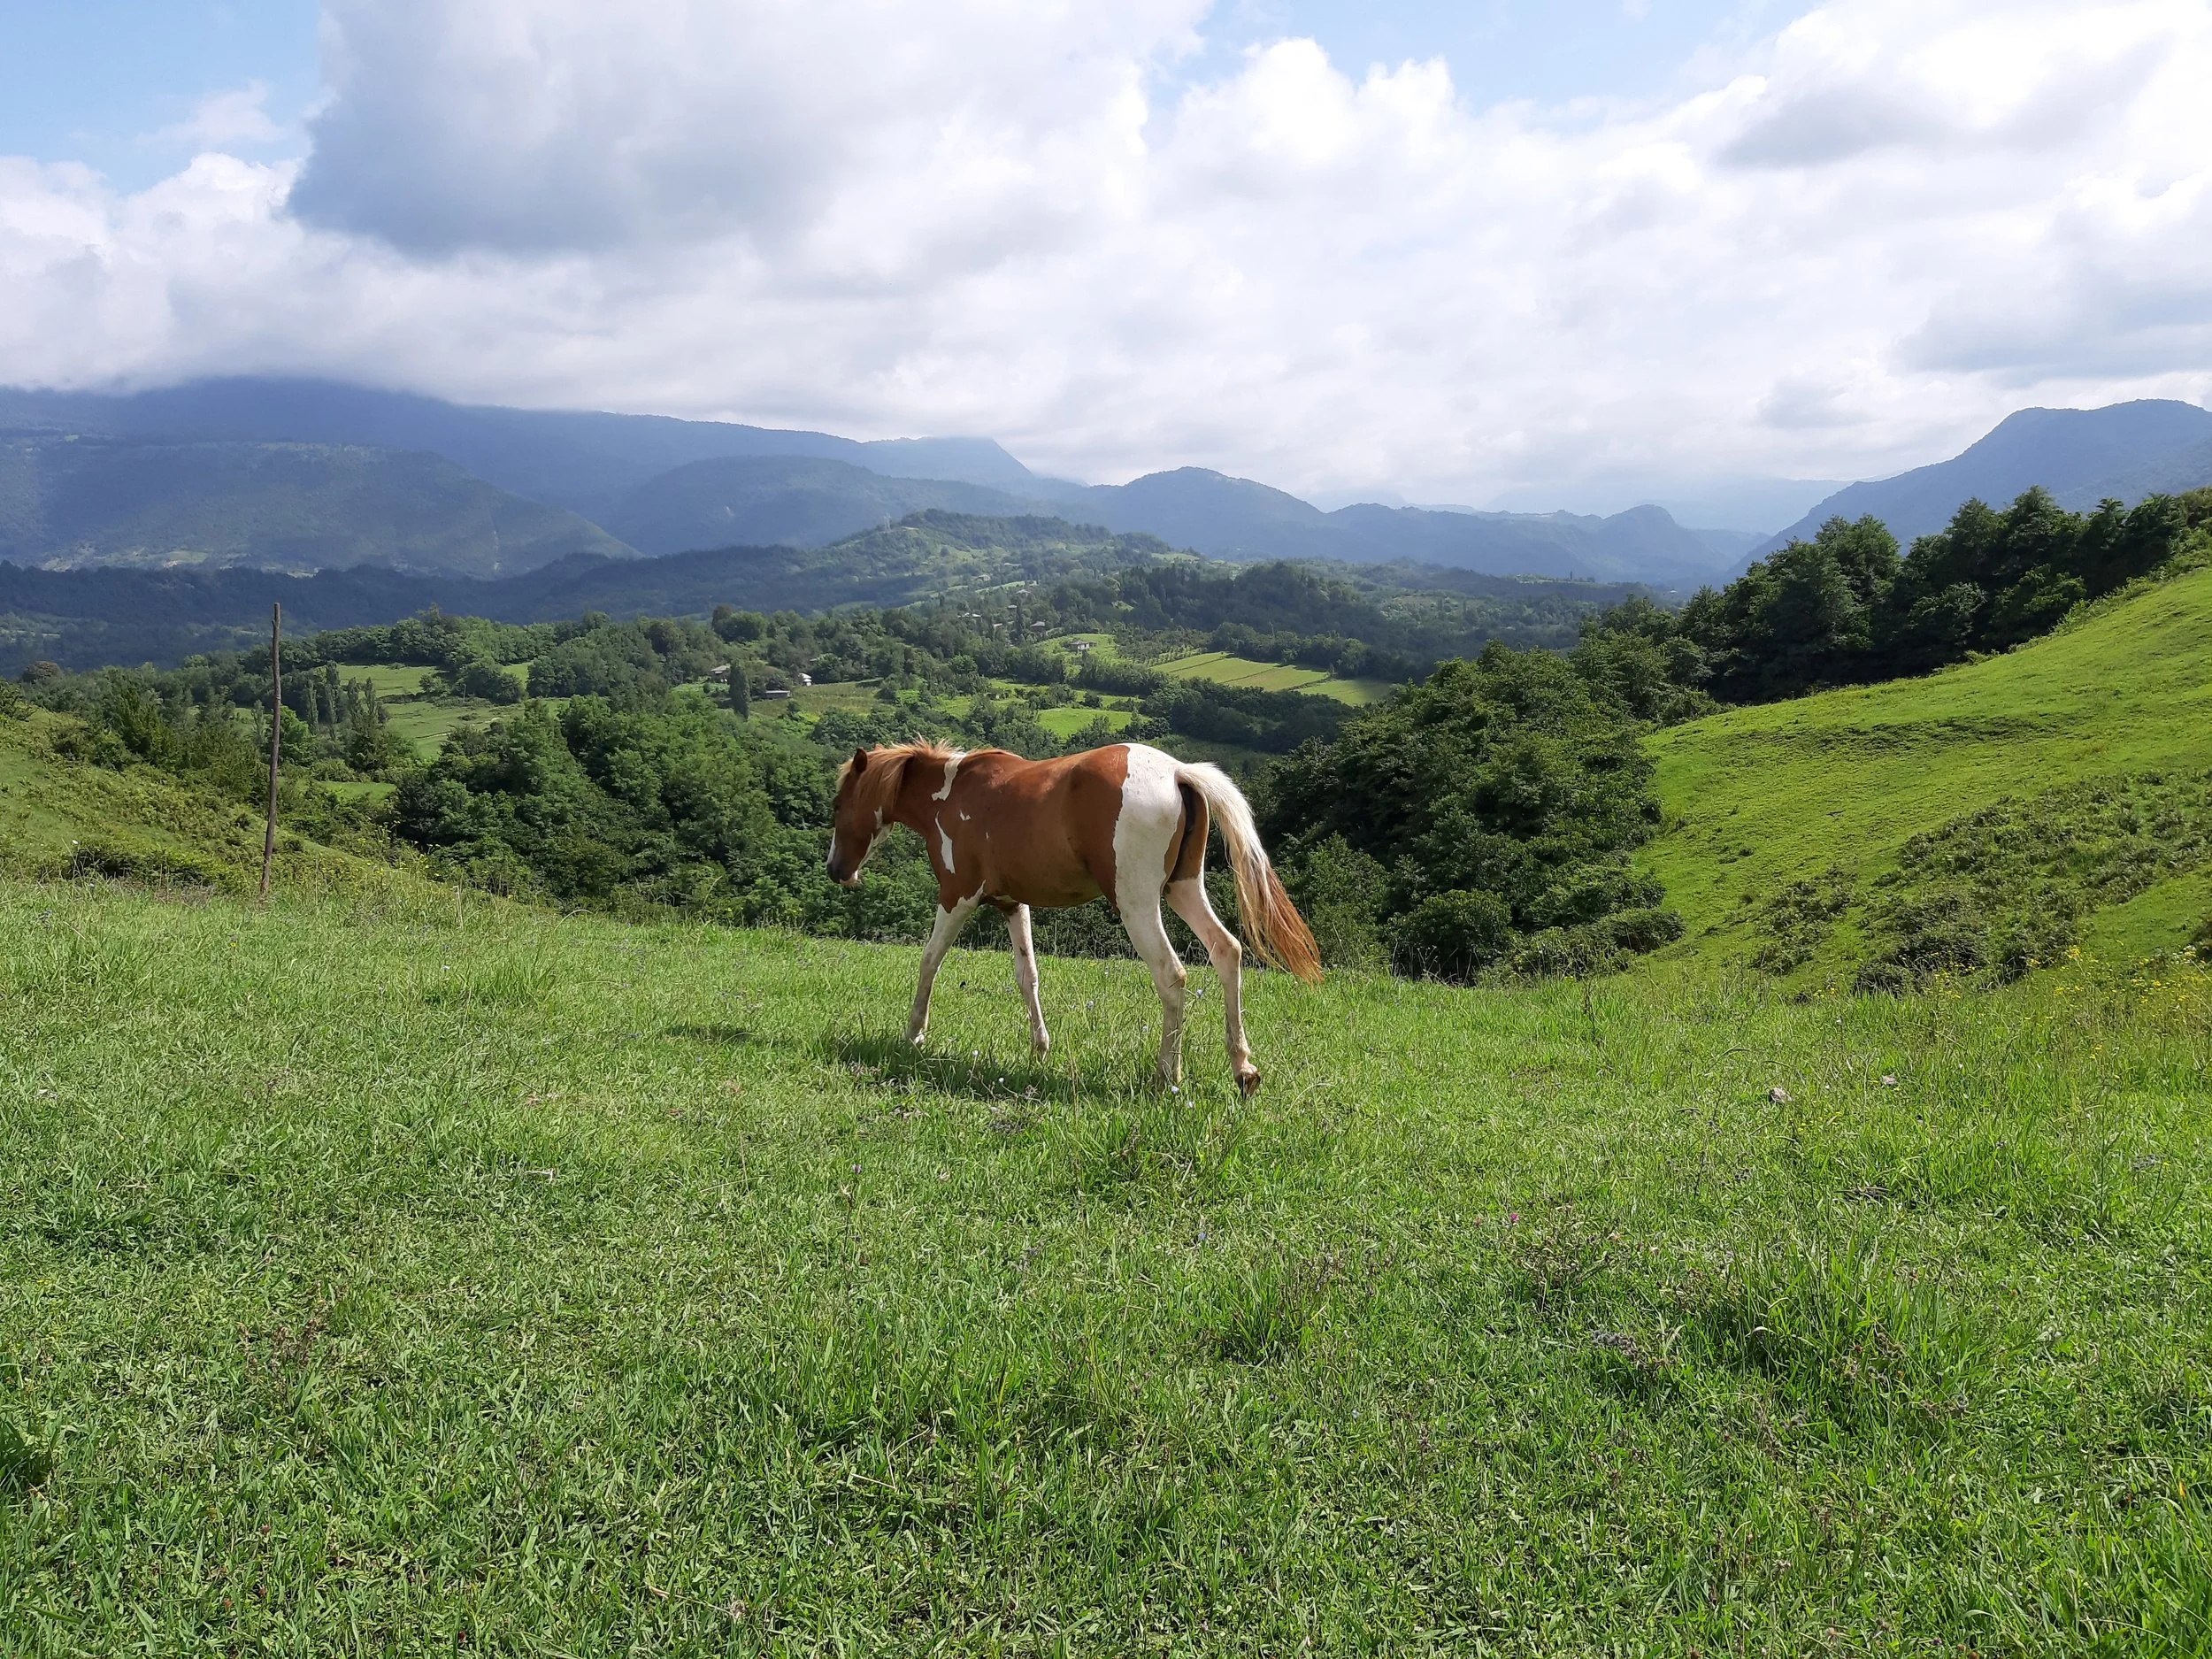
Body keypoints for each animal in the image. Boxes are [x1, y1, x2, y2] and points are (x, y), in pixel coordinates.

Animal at [826, 741, 1321, 1095]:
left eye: (836, 805)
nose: (836, 870)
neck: (951, 793)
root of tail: (1178, 772)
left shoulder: (956, 896)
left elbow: (930, 960)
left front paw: (914, 1035)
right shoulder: (1013, 904)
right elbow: (1027, 976)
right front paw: (1040, 1048)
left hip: (1138, 904)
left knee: (1172, 975)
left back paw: (1167, 1076)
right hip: (1183, 889)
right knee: (1226, 951)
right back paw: (1243, 1068)